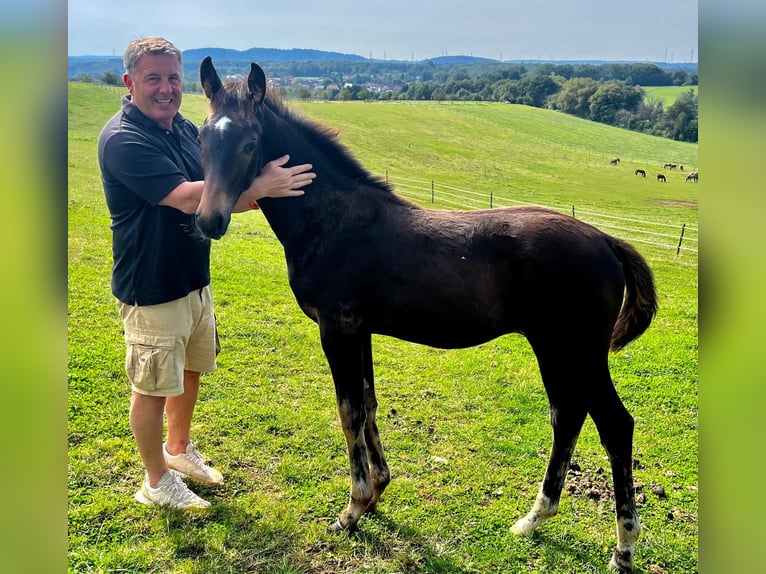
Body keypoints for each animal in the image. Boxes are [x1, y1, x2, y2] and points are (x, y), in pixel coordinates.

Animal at [195, 58, 656, 574]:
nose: (209, 221)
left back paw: (623, 547)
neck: (333, 220)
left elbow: (349, 410)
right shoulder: (360, 331)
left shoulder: (337, 329)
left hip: (579, 350)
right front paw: (377, 492)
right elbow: (369, 402)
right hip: (553, 347)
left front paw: (351, 510)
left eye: (250, 143)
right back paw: (533, 520)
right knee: (568, 415)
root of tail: (605, 240)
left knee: (614, 425)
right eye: (201, 136)